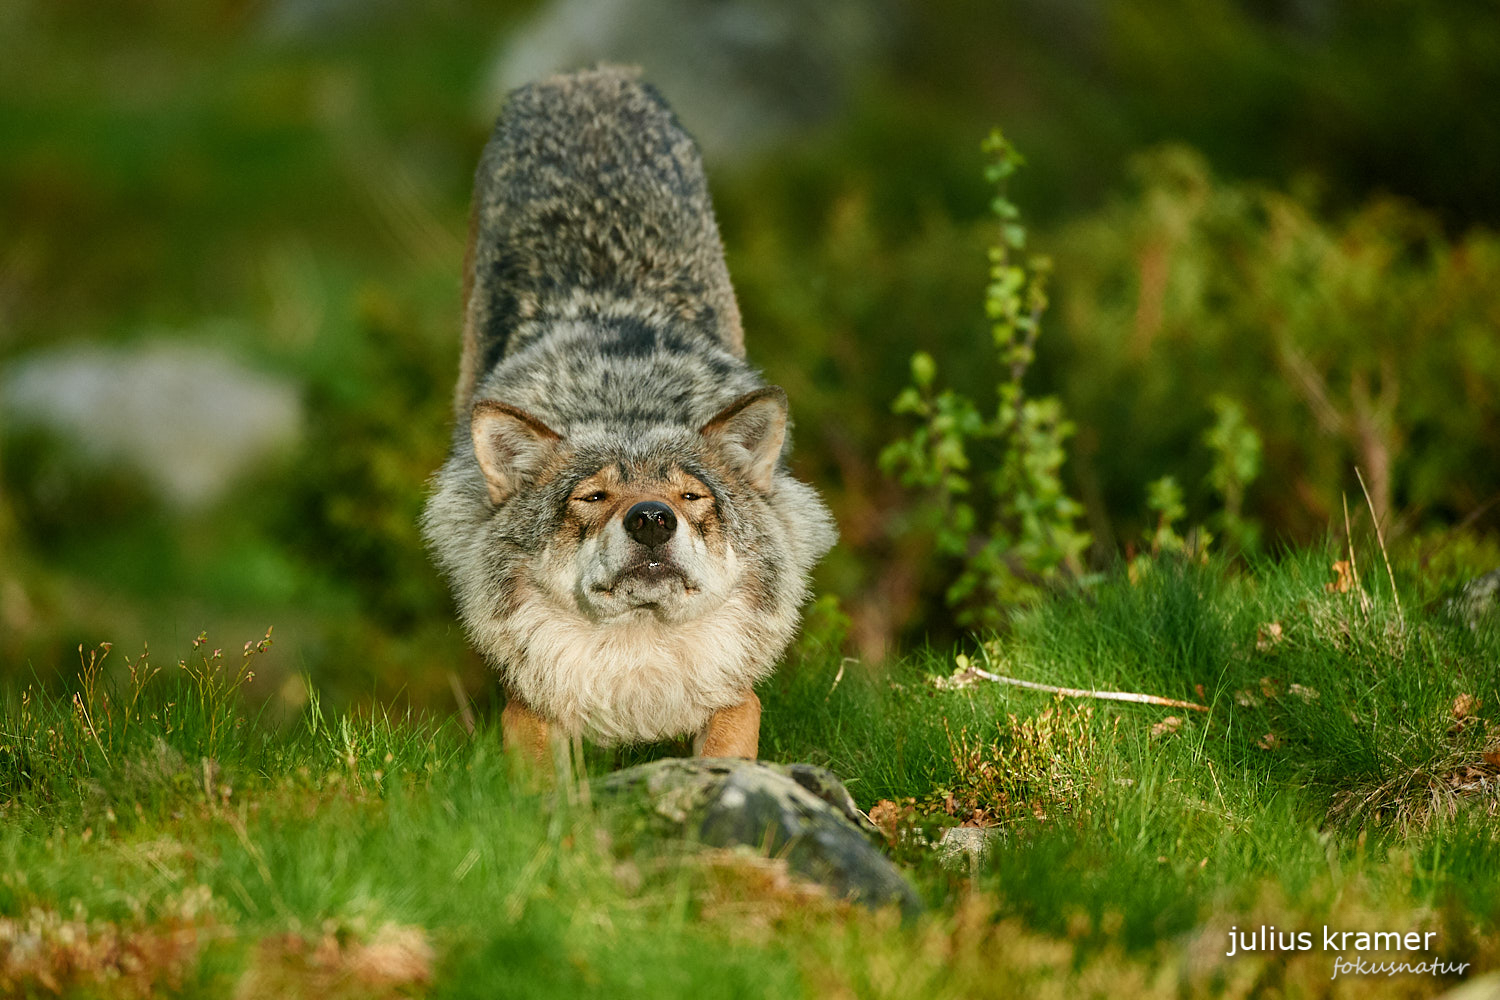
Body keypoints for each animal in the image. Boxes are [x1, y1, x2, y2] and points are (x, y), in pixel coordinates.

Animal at [423, 66, 840, 761]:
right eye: (592, 498)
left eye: (692, 497)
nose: (651, 520)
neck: (637, 664)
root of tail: (585, 77)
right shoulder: (530, 708)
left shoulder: (733, 696)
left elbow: (725, 753)